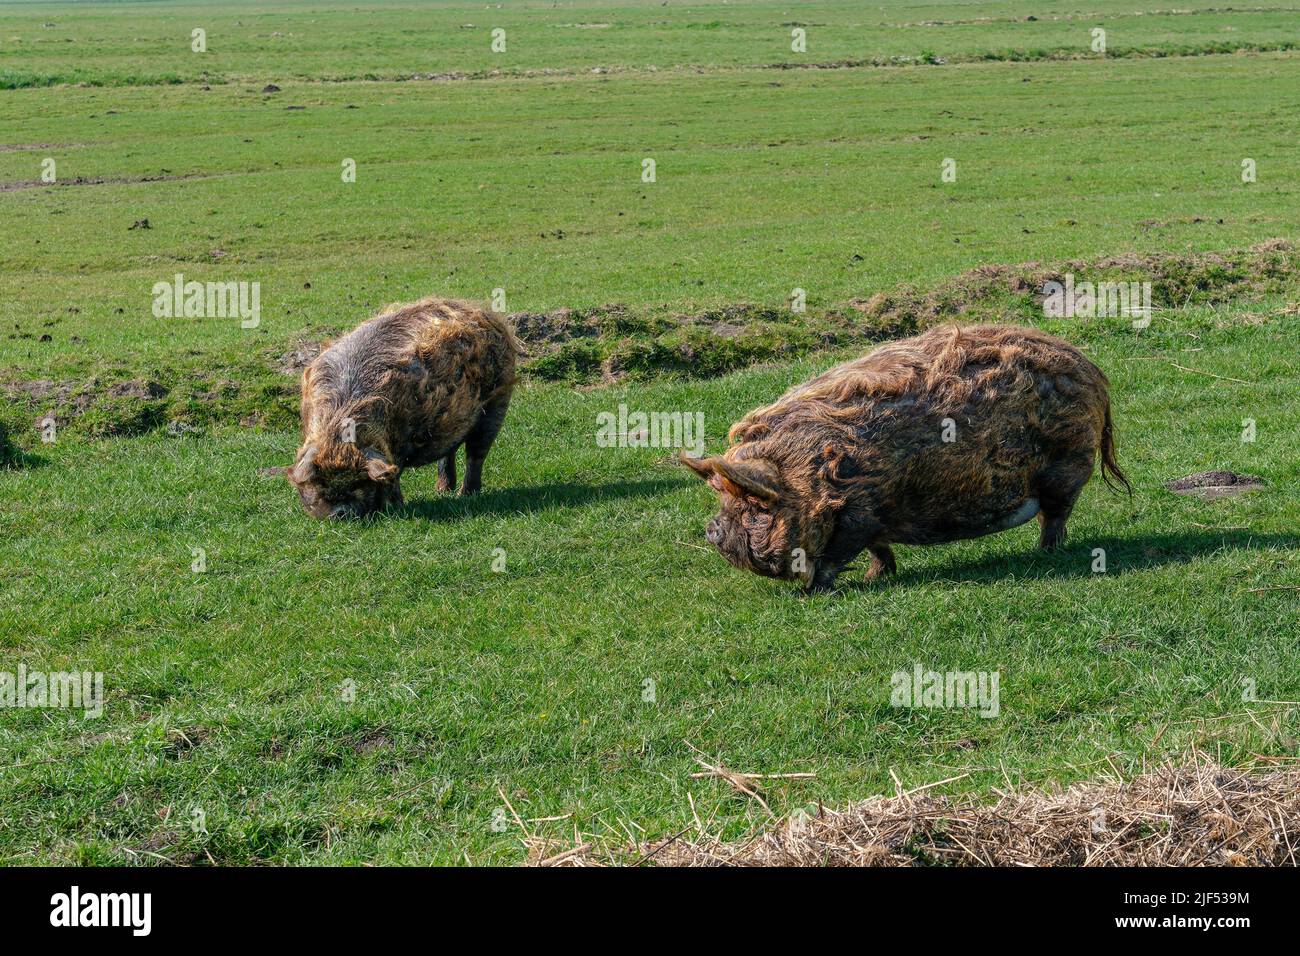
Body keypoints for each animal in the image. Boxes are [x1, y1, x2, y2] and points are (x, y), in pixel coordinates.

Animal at [289, 299, 517, 522]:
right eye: (321, 484)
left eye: (359, 483)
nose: (339, 513)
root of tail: (483, 312)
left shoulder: (400, 442)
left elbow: (395, 473)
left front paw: (397, 507)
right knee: (449, 451)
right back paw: (442, 491)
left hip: (498, 401)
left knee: (476, 453)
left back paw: (466, 495)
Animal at [681, 325, 1128, 587]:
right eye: (726, 500)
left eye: (757, 506)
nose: (711, 530)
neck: (811, 474)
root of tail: (1090, 368)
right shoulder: (871, 514)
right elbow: (878, 549)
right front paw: (875, 575)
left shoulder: (858, 513)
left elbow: (834, 557)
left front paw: (816, 591)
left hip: (1067, 464)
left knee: (1055, 515)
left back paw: (1045, 553)